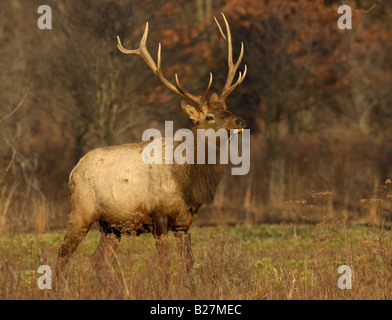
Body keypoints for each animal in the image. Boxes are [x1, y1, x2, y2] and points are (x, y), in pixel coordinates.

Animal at [56, 13, 247, 282]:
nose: (240, 121)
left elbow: (189, 265)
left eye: (227, 108)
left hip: (112, 225)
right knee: (63, 255)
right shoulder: (158, 216)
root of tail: (73, 170)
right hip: (81, 210)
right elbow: (165, 266)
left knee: (97, 261)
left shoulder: (184, 222)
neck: (187, 181)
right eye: (209, 116)